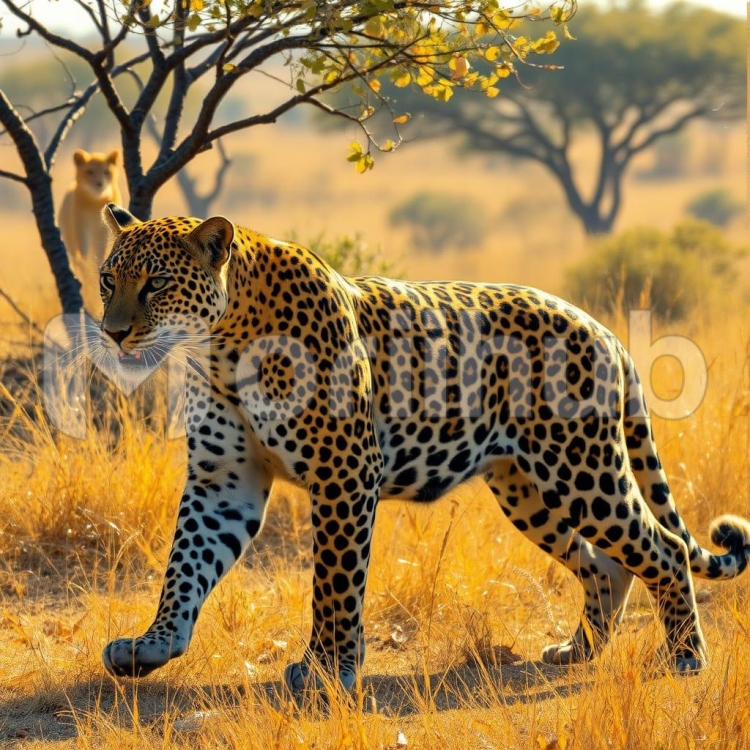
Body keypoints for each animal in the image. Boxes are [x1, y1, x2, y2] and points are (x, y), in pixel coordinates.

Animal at [97, 203, 750, 691]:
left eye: (155, 283)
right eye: (107, 280)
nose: (112, 333)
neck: (222, 345)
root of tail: (604, 330)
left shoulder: (344, 472)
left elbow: (334, 582)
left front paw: (328, 670)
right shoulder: (224, 479)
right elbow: (186, 564)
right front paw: (153, 644)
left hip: (579, 467)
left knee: (663, 547)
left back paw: (687, 656)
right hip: (529, 488)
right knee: (607, 562)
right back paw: (579, 650)